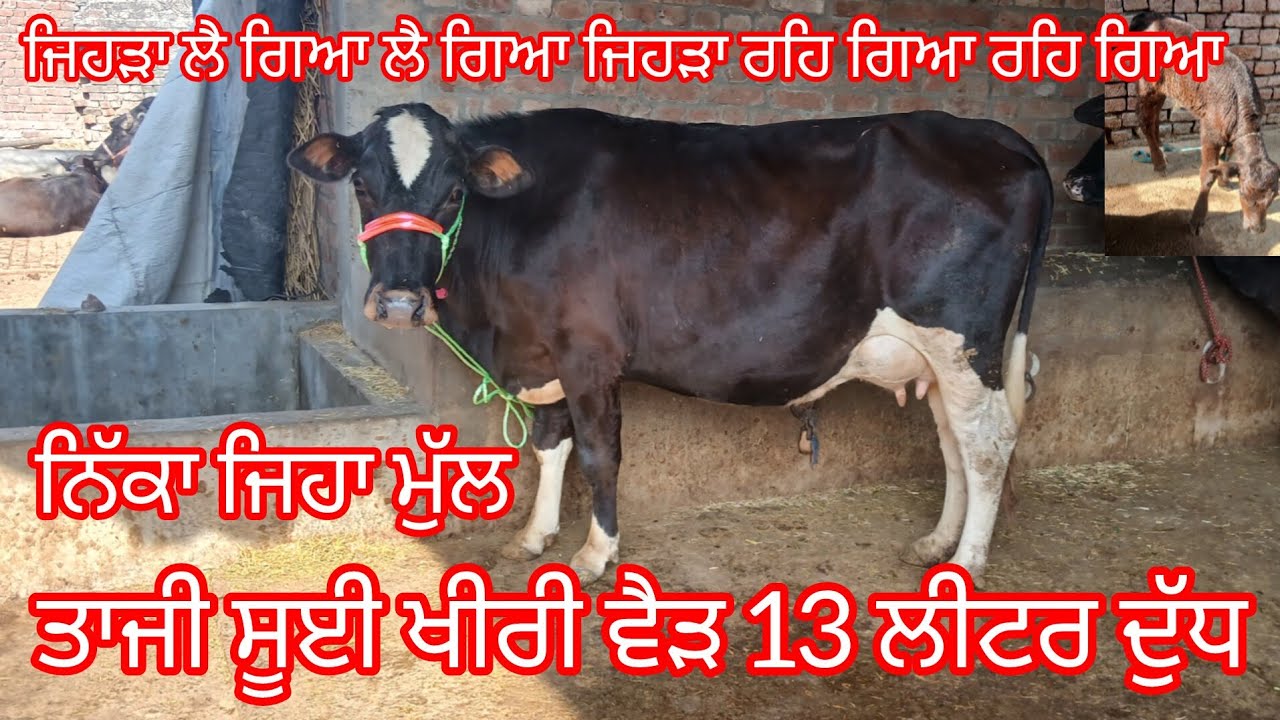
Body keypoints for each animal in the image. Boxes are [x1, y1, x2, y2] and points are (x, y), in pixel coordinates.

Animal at [288, 102, 1054, 588]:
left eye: (451, 193)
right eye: (362, 186)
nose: (397, 302)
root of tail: (996, 136)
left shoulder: (589, 353)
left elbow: (598, 455)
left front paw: (595, 553)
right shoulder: (542, 354)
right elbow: (548, 444)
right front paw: (534, 537)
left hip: (962, 339)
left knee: (988, 444)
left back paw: (968, 565)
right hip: (944, 358)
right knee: (953, 441)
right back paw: (937, 543)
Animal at [1130, 12, 1280, 236]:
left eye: (1273, 197)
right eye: (1244, 194)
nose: (1257, 229)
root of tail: (1147, 15)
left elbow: (1227, 158)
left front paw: (1224, 181)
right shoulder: (1210, 133)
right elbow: (1207, 174)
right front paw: (1197, 219)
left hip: (1163, 89)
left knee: (1155, 119)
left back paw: (1162, 154)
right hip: (1146, 86)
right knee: (1146, 121)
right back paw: (1158, 163)